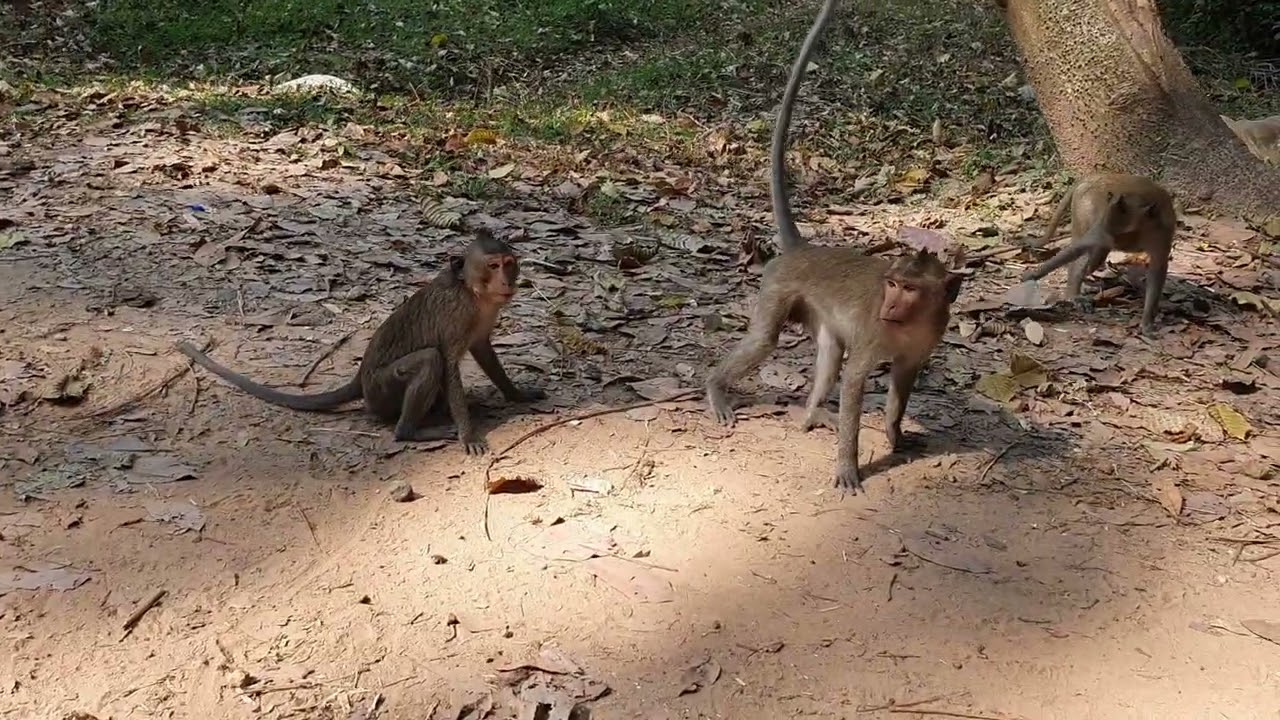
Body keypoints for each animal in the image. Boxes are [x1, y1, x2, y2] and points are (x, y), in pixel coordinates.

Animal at [177, 228, 544, 455]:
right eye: (493, 265)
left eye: (509, 264)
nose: (507, 281)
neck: (472, 291)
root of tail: (361, 378)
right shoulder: (459, 313)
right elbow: (449, 362)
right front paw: (468, 434)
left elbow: (483, 349)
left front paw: (518, 395)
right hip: (382, 391)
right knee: (429, 360)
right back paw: (410, 432)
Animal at [705, 0, 964, 494]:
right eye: (892, 284)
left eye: (911, 289)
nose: (890, 305)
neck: (910, 322)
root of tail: (804, 250)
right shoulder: (874, 333)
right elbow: (855, 383)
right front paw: (847, 466)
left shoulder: (927, 338)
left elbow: (902, 381)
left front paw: (896, 435)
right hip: (778, 287)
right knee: (767, 341)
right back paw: (715, 389)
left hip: (819, 316)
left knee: (828, 359)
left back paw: (809, 417)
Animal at [1020, 173, 1175, 337]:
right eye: (1120, 235)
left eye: (1127, 234)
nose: (1114, 242)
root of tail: (1093, 177)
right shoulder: (1103, 227)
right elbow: (1079, 247)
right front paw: (1032, 275)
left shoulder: (1162, 234)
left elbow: (1157, 270)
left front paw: (1147, 321)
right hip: (1085, 207)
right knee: (1088, 254)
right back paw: (1073, 295)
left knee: (1096, 256)